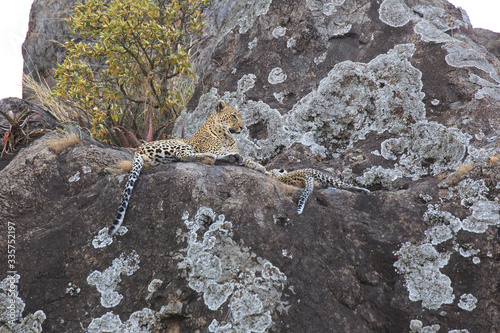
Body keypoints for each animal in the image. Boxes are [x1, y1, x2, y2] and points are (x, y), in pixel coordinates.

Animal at [109, 100, 266, 235]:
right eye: (233, 116)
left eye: (239, 116)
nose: (242, 128)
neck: (227, 137)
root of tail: (138, 149)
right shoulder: (214, 149)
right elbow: (243, 157)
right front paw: (258, 165)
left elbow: (247, 159)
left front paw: (259, 167)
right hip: (178, 144)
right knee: (186, 155)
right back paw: (219, 157)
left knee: (182, 157)